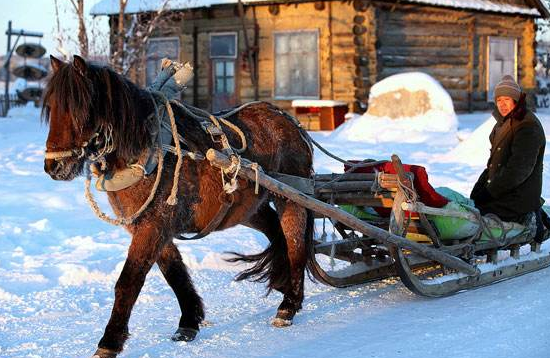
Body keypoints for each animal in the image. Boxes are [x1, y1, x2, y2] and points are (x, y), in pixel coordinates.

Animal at [42, 56, 314, 358]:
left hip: (291, 198)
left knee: (295, 244)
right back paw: (282, 285)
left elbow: (129, 281)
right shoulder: (151, 227)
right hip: (246, 208)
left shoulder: (154, 225)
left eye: (79, 108)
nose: (54, 167)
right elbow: (174, 273)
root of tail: (289, 122)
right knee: (276, 233)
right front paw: (189, 321)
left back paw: (289, 304)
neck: (145, 152)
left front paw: (109, 341)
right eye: (51, 107)